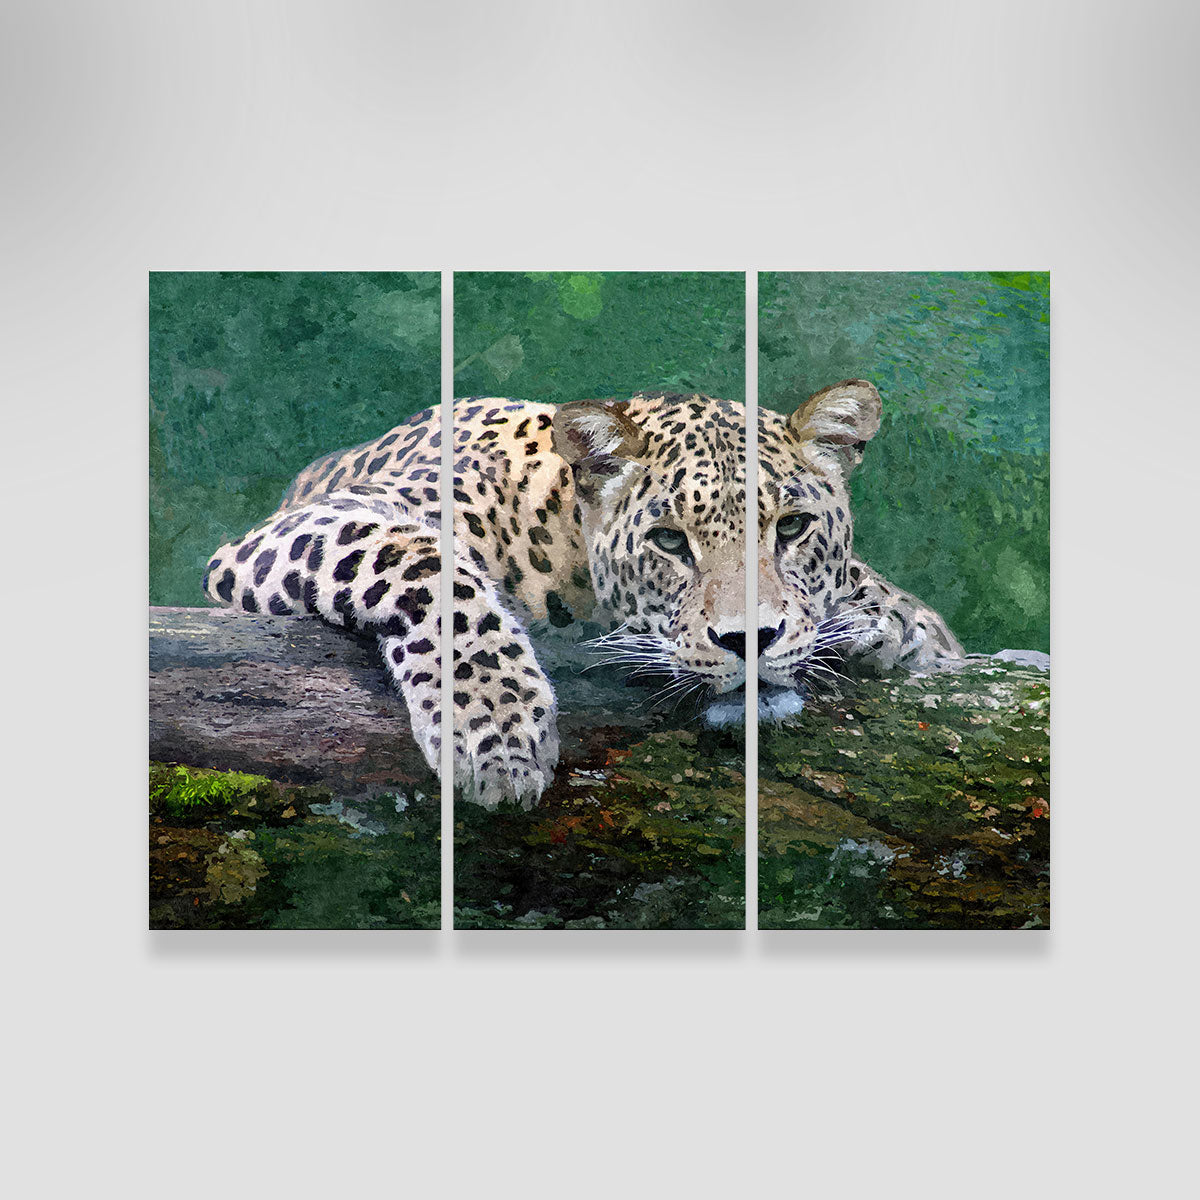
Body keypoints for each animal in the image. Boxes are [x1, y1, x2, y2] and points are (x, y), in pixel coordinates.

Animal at [203, 380, 963, 807]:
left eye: (793, 528)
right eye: (669, 541)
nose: (750, 640)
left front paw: (888, 625)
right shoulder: (308, 525)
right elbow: (428, 565)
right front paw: (498, 732)